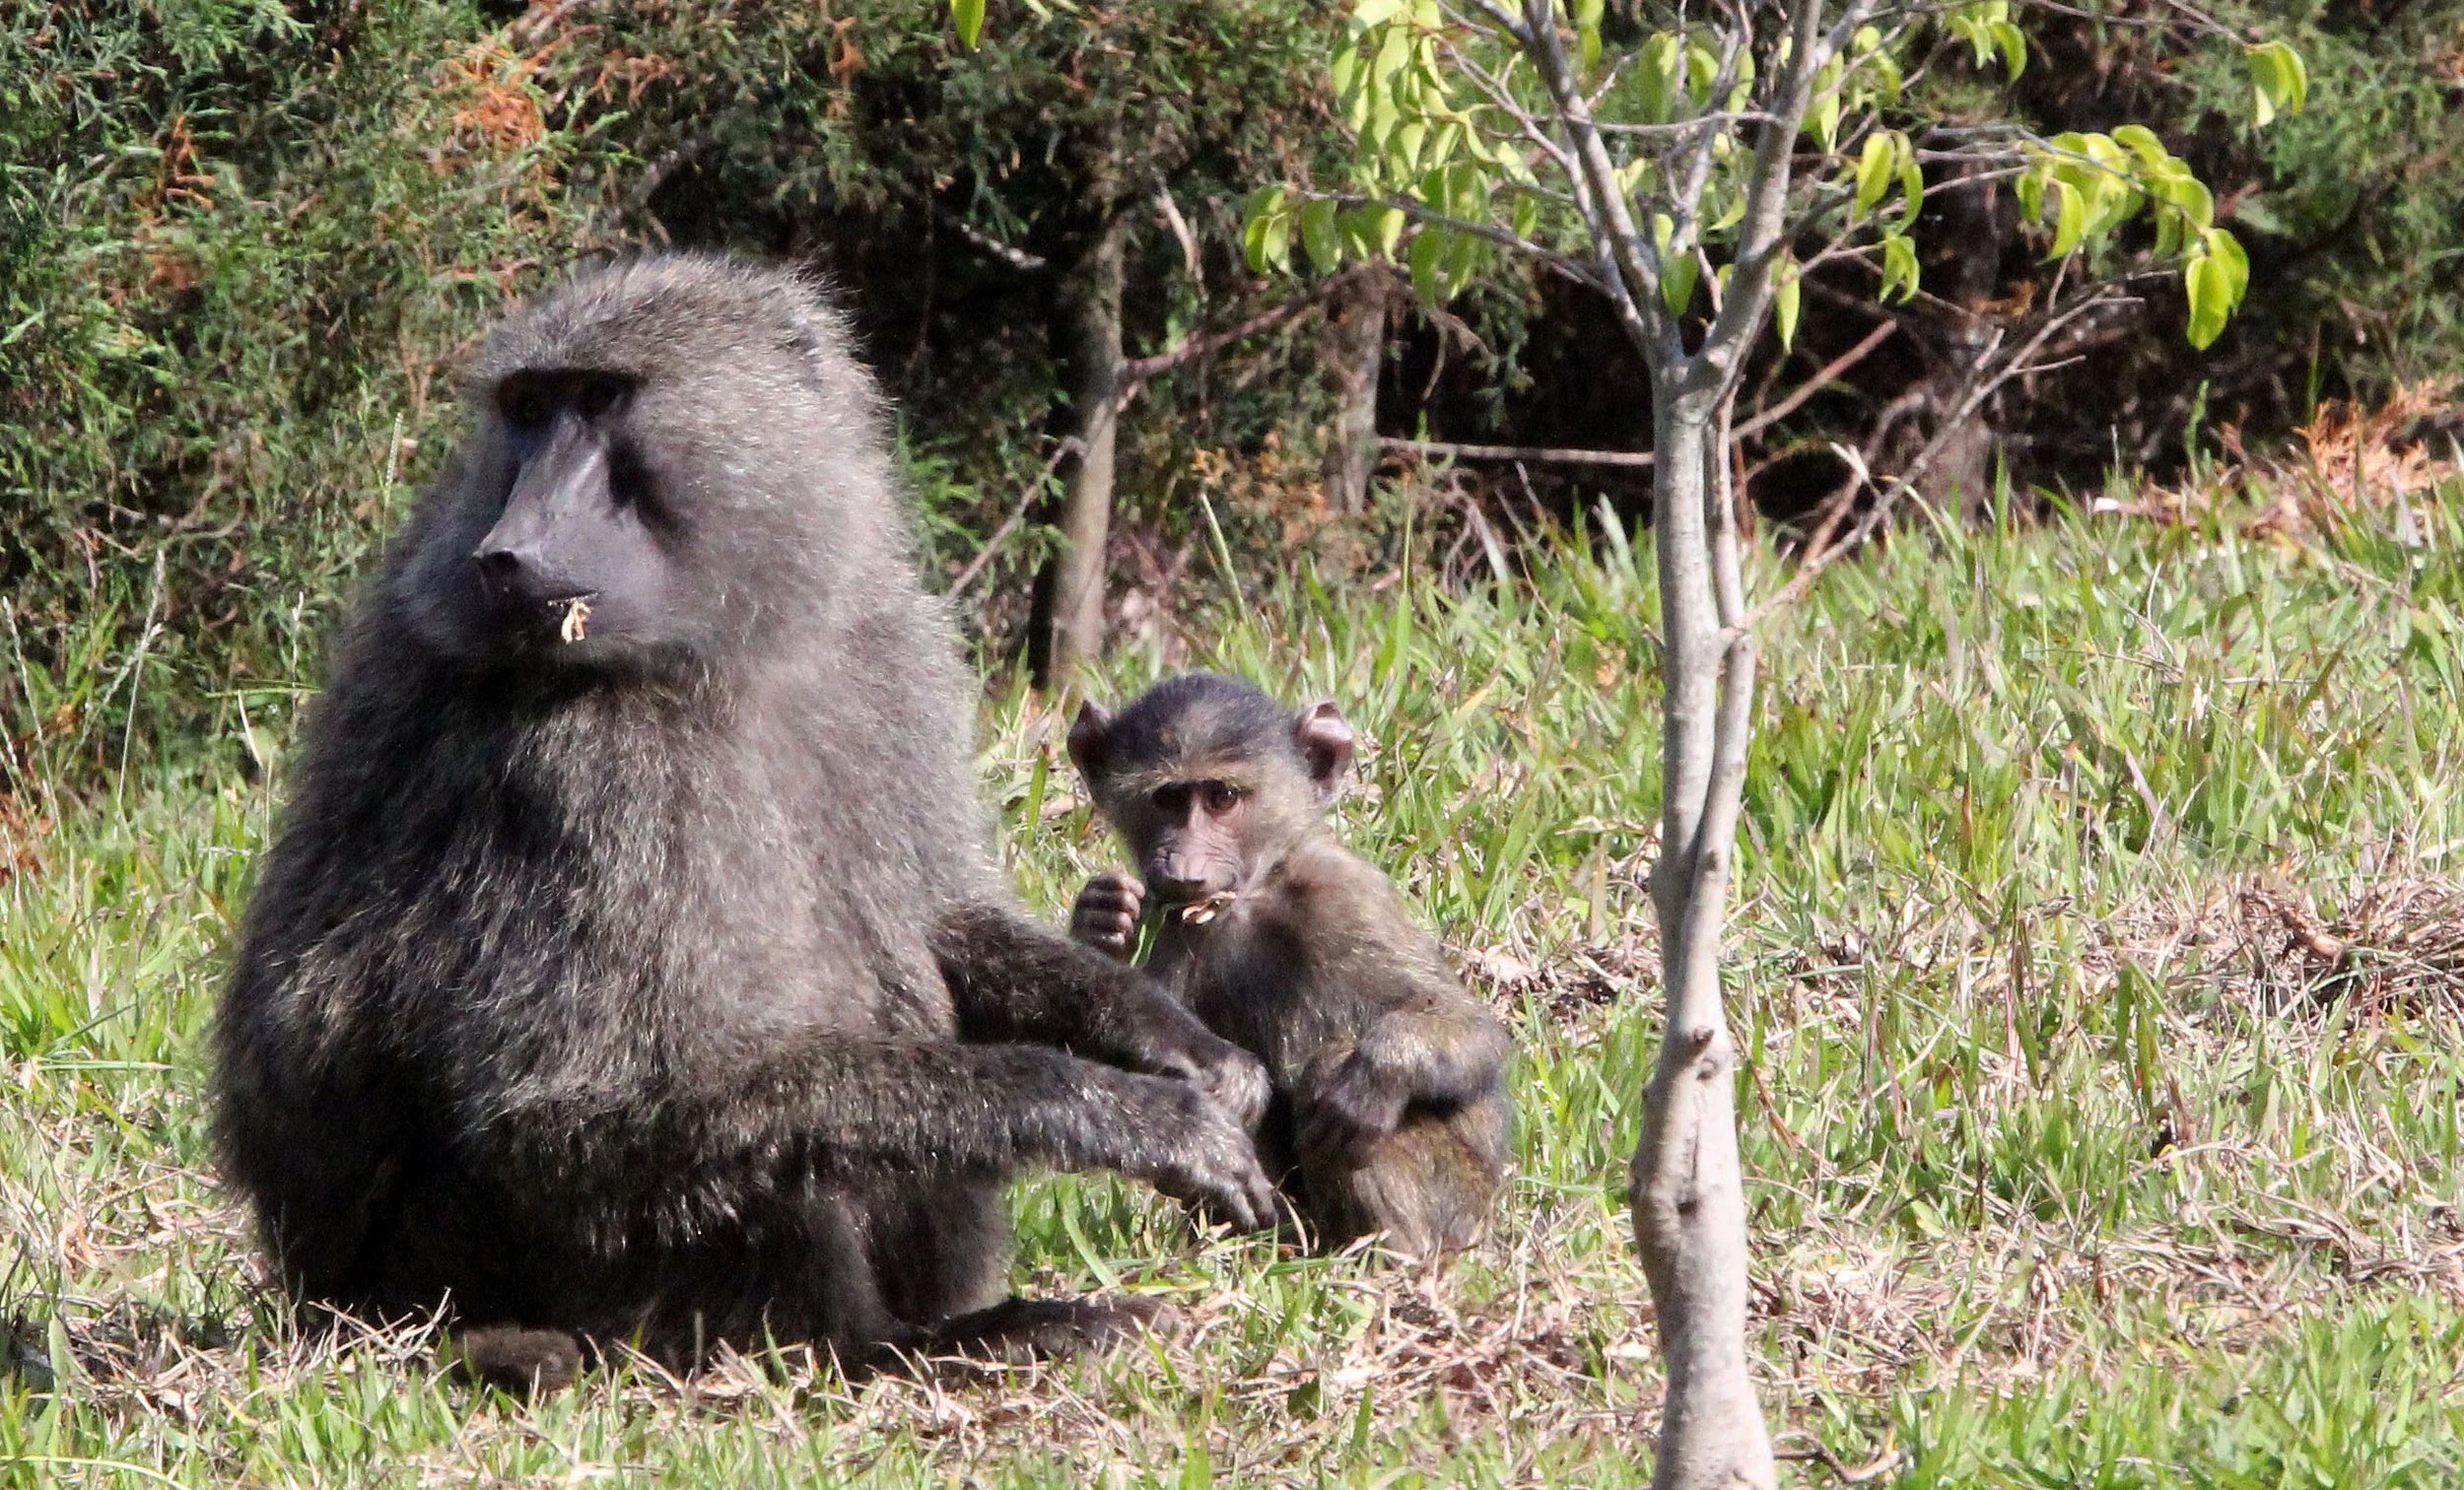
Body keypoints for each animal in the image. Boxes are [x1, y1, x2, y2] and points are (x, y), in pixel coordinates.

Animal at [212, 255, 1278, 1390]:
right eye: (529, 409)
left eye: (600, 399)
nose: (508, 551)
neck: (731, 640)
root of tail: (335, 1301)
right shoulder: (588, 766)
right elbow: (571, 1113)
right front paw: (1124, 1114)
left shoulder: (877, 639)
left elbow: (938, 915)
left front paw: (1176, 1045)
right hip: (469, 1265)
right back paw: (910, 1347)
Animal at [1065, 673, 1512, 1261]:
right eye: (1167, 799)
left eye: (1223, 798)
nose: (1183, 867)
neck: (1252, 897)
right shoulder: (1172, 926)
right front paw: (1101, 923)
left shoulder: (1348, 895)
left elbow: (1468, 1025)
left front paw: (1376, 1078)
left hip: (1461, 1203)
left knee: (1335, 1070)